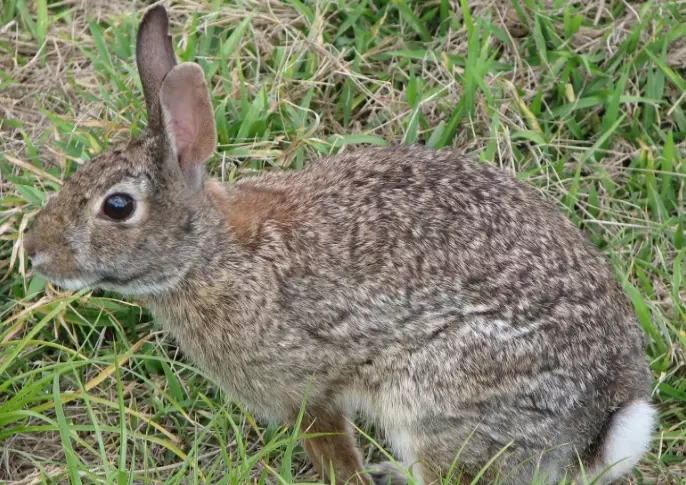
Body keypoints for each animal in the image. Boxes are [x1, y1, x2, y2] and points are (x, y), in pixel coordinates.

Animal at [23, 4, 656, 485]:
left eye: (117, 207)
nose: (33, 249)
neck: (212, 256)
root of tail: (602, 420)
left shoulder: (306, 390)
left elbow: (331, 449)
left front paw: (350, 476)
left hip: (438, 400)